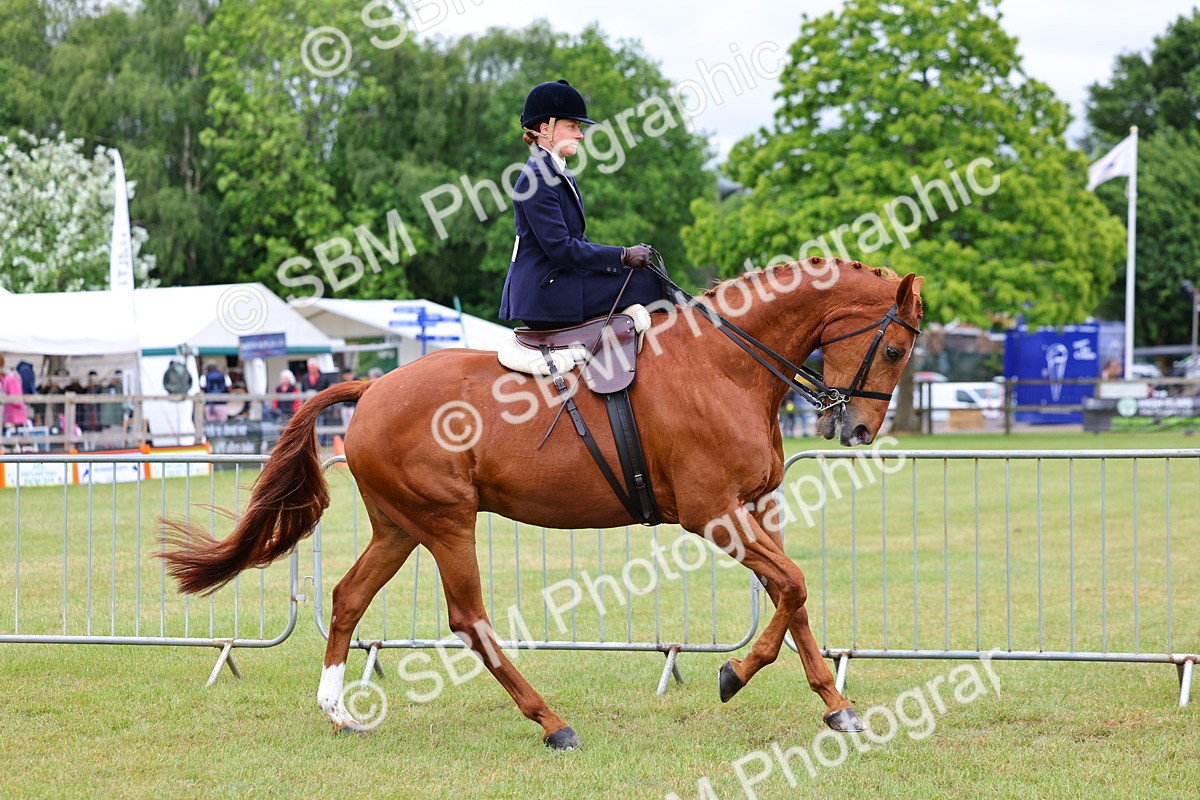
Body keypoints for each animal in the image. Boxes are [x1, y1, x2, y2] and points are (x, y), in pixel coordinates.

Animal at [160, 258, 924, 750]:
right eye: (892, 349)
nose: (858, 431)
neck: (726, 363)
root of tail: (372, 387)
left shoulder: (758, 509)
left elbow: (794, 599)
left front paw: (837, 707)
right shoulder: (714, 513)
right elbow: (791, 586)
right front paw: (735, 674)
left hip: (400, 526)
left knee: (348, 598)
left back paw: (337, 710)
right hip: (445, 522)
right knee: (469, 620)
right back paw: (552, 722)